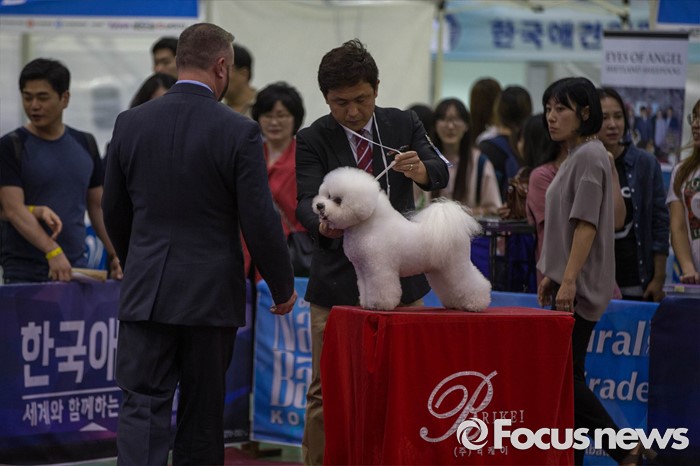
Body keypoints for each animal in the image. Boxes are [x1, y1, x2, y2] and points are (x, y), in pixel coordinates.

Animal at [312, 167, 491, 311]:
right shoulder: (363, 270)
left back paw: (476, 304)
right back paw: (455, 304)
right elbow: (365, 288)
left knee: (472, 281)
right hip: (440, 269)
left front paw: (380, 305)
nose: (320, 206)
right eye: (327, 195)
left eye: (338, 200)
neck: (369, 225)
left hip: (456, 263)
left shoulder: (378, 268)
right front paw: (367, 304)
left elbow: (381, 287)